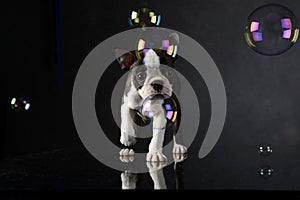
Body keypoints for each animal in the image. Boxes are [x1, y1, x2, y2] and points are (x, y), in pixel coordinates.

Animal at [115, 32, 188, 162]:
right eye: (140, 76)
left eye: (169, 73)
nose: (157, 83)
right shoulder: (126, 101)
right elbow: (126, 120)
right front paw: (128, 139)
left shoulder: (161, 112)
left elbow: (157, 137)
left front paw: (155, 154)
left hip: (176, 106)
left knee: (177, 128)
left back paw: (179, 146)